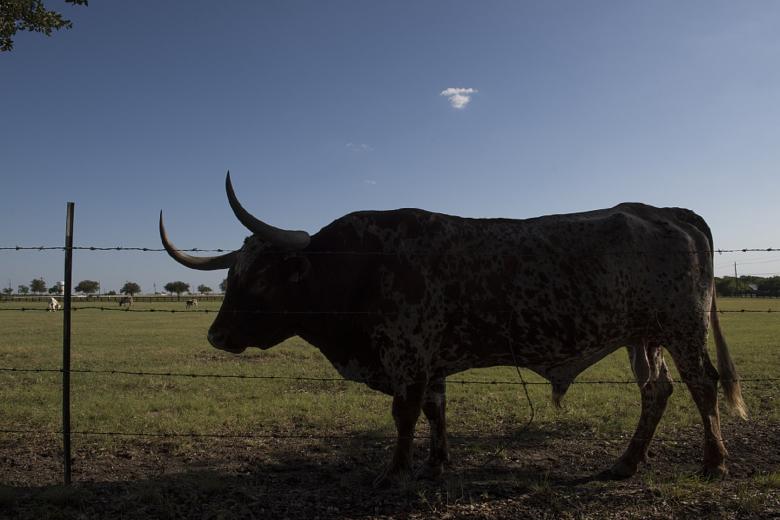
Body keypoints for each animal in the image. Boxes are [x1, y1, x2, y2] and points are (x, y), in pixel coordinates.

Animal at [159, 172, 747, 485]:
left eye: (260, 277)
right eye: (231, 274)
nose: (216, 336)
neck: (358, 265)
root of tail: (665, 210)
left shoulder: (408, 354)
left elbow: (404, 415)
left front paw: (393, 473)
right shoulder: (430, 361)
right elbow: (435, 411)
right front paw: (437, 465)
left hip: (682, 329)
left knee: (703, 385)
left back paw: (714, 463)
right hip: (642, 337)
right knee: (656, 391)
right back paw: (626, 463)